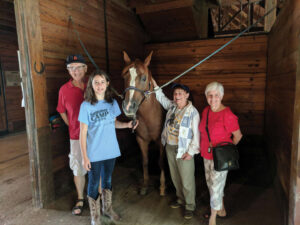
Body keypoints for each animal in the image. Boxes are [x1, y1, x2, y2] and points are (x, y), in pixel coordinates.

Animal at [120, 51, 165, 195]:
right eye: (124, 77)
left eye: (144, 78)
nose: (128, 107)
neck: (149, 116)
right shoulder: (141, 140)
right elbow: (145, 161)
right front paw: (145, 185)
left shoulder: (161, 141)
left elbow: (161, 162)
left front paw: (162, 186)